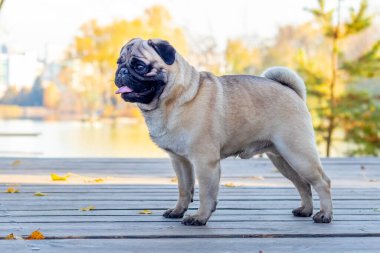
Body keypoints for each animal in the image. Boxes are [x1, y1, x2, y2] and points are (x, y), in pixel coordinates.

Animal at [113, 38, 332, 226]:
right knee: (303, 185)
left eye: (140, 66)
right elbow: (184, 189)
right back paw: (305, 210)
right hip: (282, 159)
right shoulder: (180, 161)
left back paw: (325, 214)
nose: (121, 72)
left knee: (322, 182)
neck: (174, 99)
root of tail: (292, 92)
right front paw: (178, 211)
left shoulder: (204, 161)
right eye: (119, 62)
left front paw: (200, 218)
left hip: (298, 153)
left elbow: (205, 194)